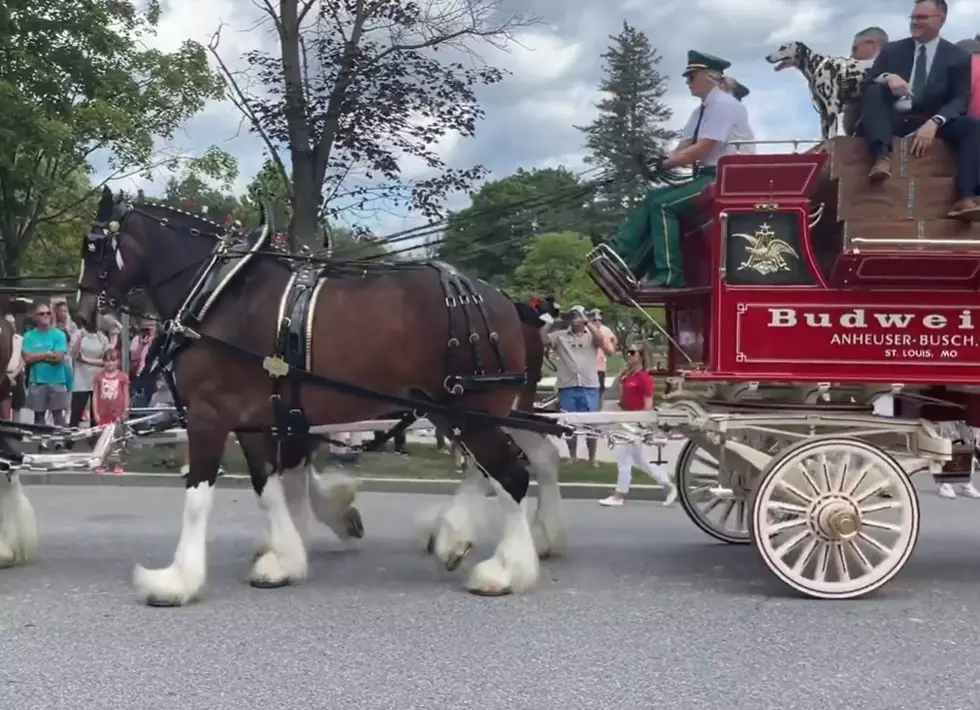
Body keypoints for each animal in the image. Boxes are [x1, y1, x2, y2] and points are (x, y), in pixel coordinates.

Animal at [76, 188, 568, 608]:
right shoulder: (253, 419)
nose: (83, 314)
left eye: (93, 247)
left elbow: (200, 497)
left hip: (472, 411)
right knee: (519, 462)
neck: (219, 293)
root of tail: (504, 302)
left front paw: (176, 581)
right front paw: (284, 560)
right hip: (467, 410)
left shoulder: (208, 416)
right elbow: (270, 489)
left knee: (510, 476)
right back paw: (489, 540)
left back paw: (504, 571)